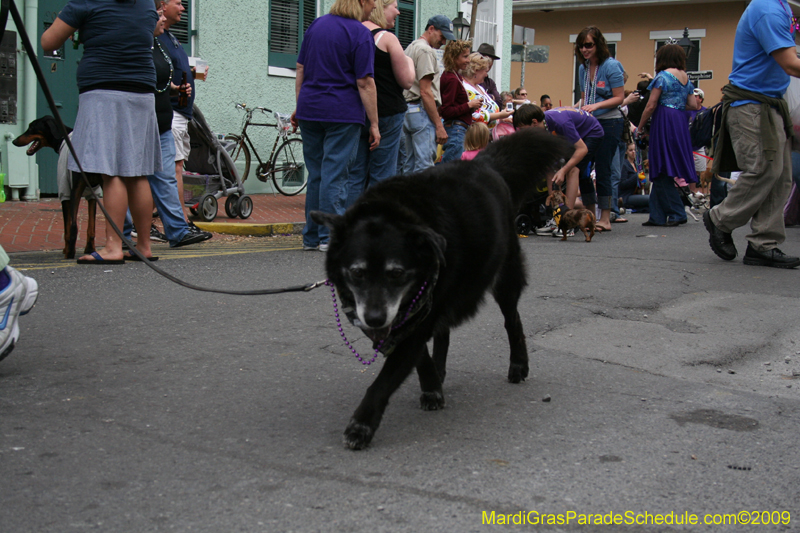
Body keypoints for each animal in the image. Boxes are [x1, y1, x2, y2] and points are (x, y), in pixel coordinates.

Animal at [310, 127, 572, 446]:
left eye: (397, 273)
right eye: (357, 273)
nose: (374, 319)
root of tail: (485, 162)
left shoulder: (417, 318)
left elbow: (385, 380)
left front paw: (362, 423)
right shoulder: (410, 319)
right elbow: (421, 355)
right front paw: (432, 384)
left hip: (505, 276)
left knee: (513, 320)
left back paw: (519, 364)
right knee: (444, 332)